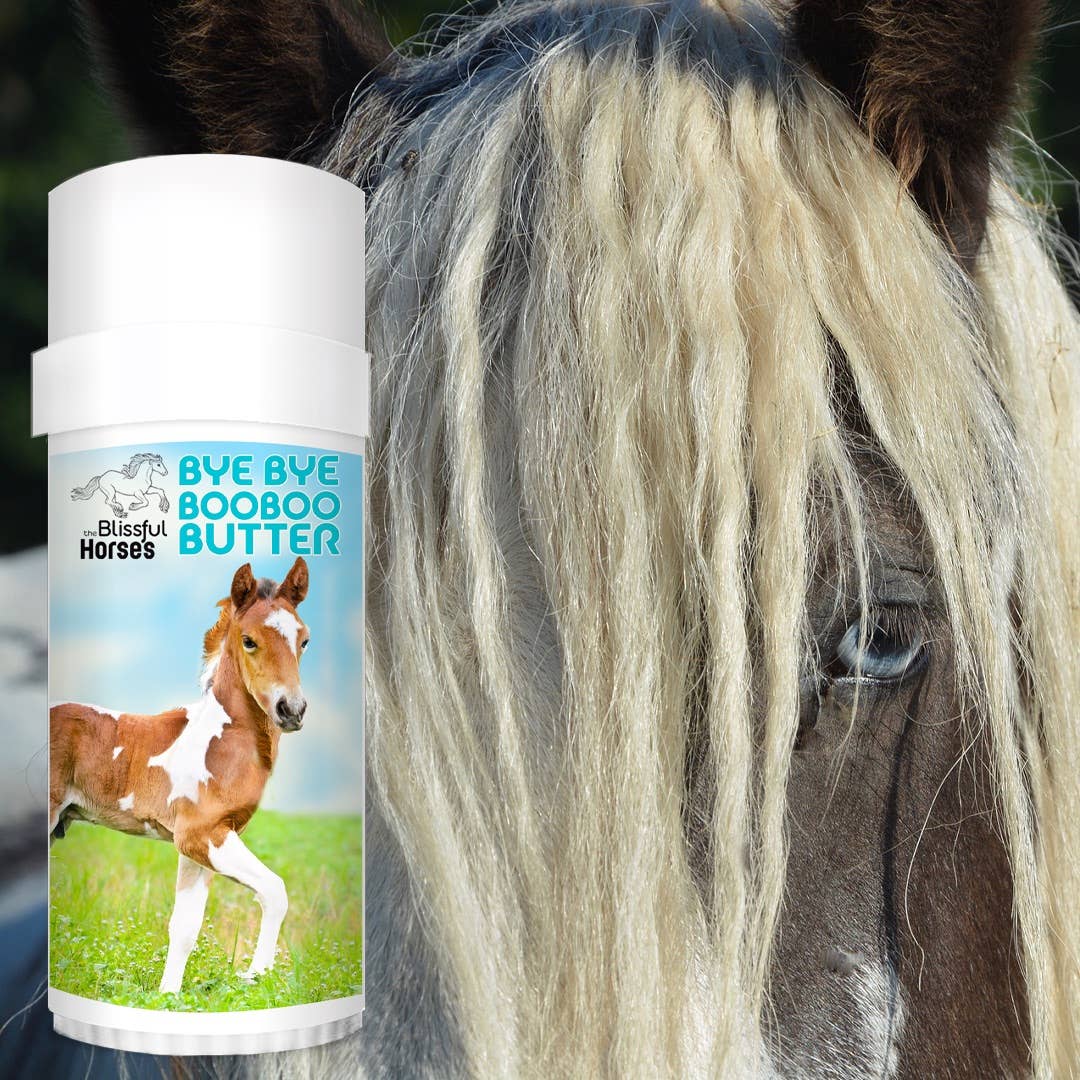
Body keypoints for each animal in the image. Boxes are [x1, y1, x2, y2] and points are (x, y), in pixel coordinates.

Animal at [48, 557, 311, 994]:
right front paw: (255, 976)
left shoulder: (200, 844)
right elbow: (275, 891)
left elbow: (185, 927)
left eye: (303, 640)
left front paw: (168, 998)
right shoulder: (201, 835)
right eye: (249, 640)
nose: (290, 709)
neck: (220, 738)